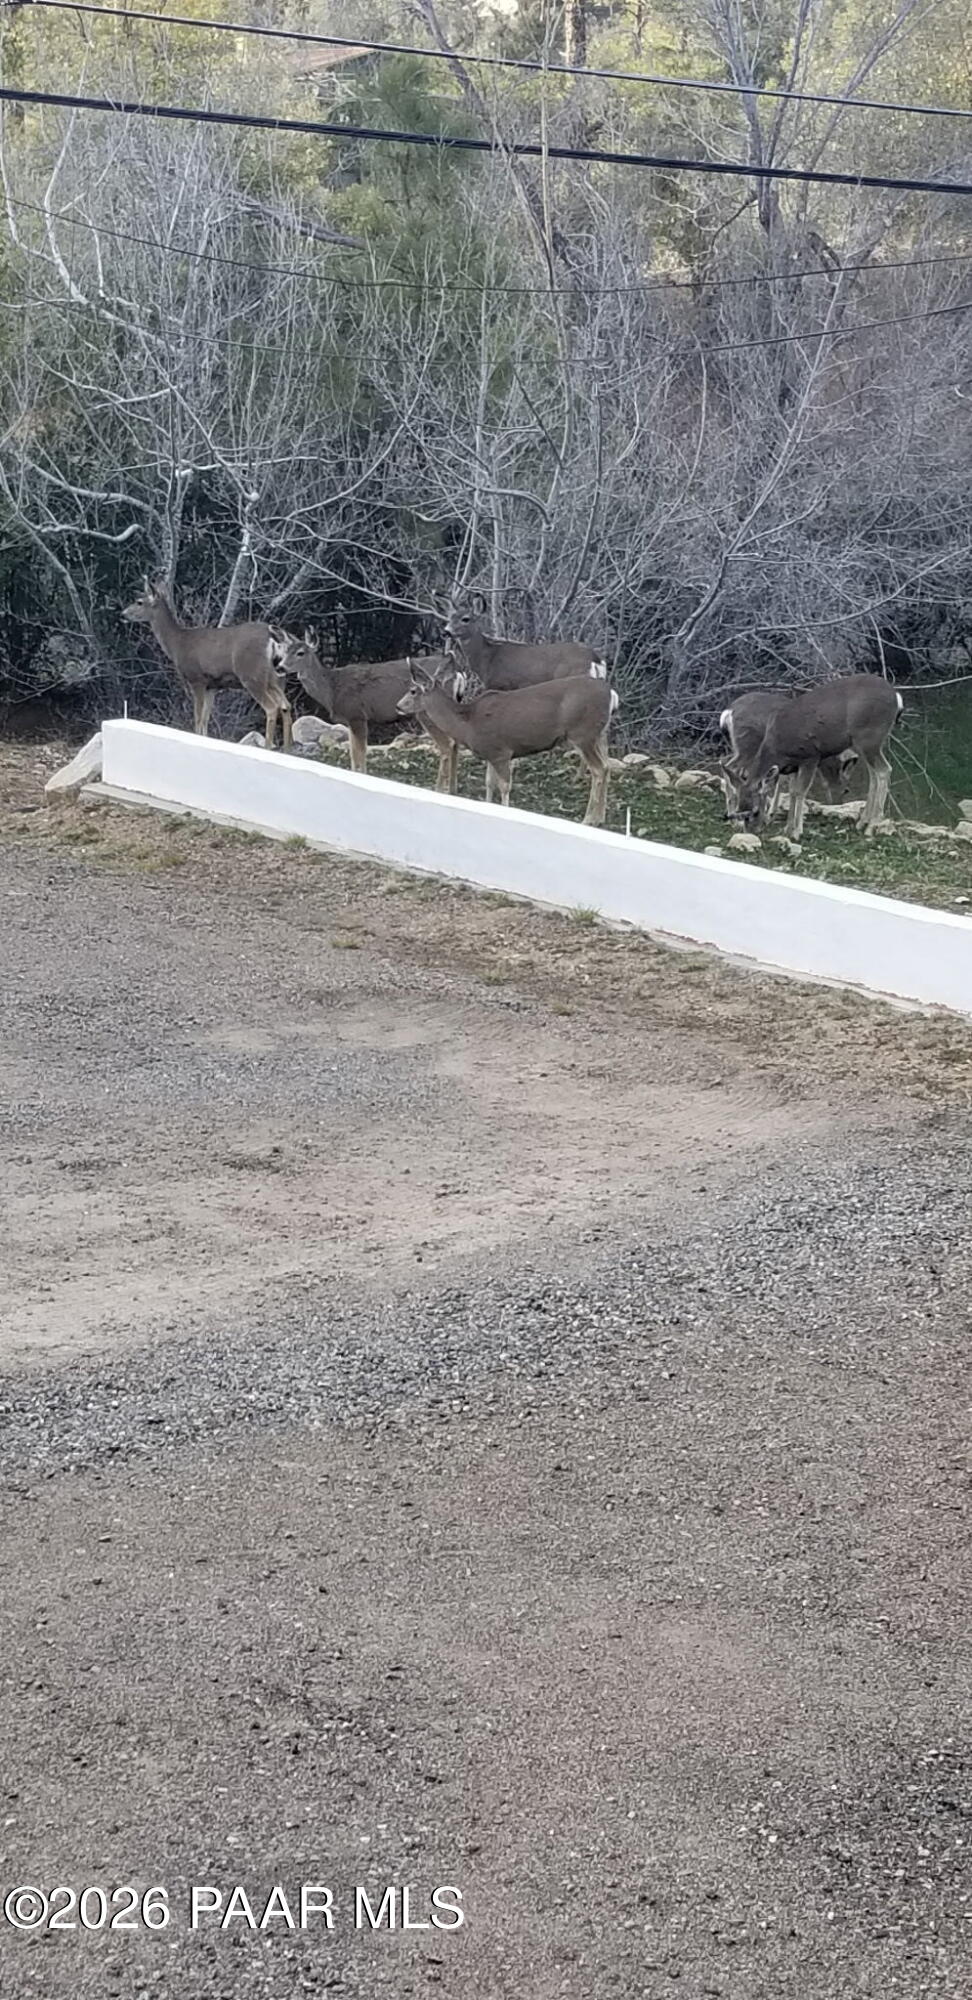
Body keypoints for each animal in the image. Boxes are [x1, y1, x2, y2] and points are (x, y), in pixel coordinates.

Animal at [121, 579, 292, 749]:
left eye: (139, 602)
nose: (122, 614)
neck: (178, 643)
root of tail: (272, 637)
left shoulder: (197, 679)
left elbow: (197, 719)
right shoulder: (212, 685)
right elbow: (205, 720)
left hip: (252, 674)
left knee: (272, 707)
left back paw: (268, 747)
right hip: (277, 677)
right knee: (285, 705)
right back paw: (287, 748)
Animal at [271, 631, 460, 787]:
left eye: (300, 653)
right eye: (285, 651)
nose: (280, 667)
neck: (332, 689)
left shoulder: (357, 714)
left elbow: (360, 753)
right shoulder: (350, 720)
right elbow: (353, 754)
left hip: (428, 711)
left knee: (447, 746)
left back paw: (440, 788)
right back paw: (452, 788)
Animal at [397, 659, 619, 826]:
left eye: (413, 690)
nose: (398, 706)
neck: (468, 724)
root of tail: (611, 694)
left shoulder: (502, 751)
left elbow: (504, 786)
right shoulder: (490, 754)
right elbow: (489, 783)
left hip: (582, 733)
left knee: (598, 769)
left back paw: (587, 819)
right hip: (599, 733)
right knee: (607, 766)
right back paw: (600, 818)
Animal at [443, 592, 608, 690]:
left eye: (465, 619)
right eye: (450, 617)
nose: (446, 631)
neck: (488, 659)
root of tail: (595, 660)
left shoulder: (503, 685)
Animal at [719, 689, 858, 821]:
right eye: (846, 790)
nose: (837, 805)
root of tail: (729, 711)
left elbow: (786, 783)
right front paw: (773, 812)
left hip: (739, 747)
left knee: (726, 762)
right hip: (749, 745)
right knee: (730, 766)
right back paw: (733, 815)